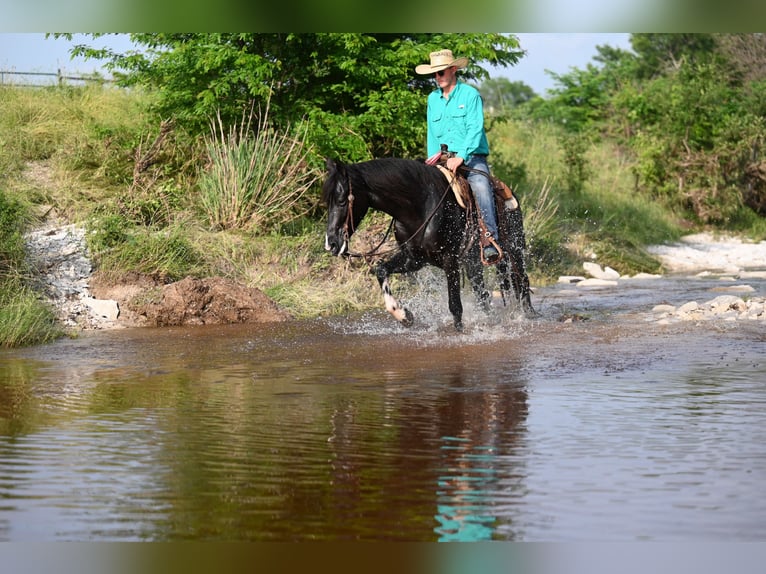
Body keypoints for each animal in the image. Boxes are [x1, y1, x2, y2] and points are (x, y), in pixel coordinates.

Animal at [322, 158, 536, 330]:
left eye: (342, 200)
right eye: (327, 201)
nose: (331, 243)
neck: (421, 206)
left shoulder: (450, 260)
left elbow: (455, 306)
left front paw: (459, 332)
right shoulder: (414, 259)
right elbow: (381, 270)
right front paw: (403, 315)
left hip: (514, 250)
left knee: (522, 282)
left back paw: (529, 315)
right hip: (474, 262)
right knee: (483, 294)